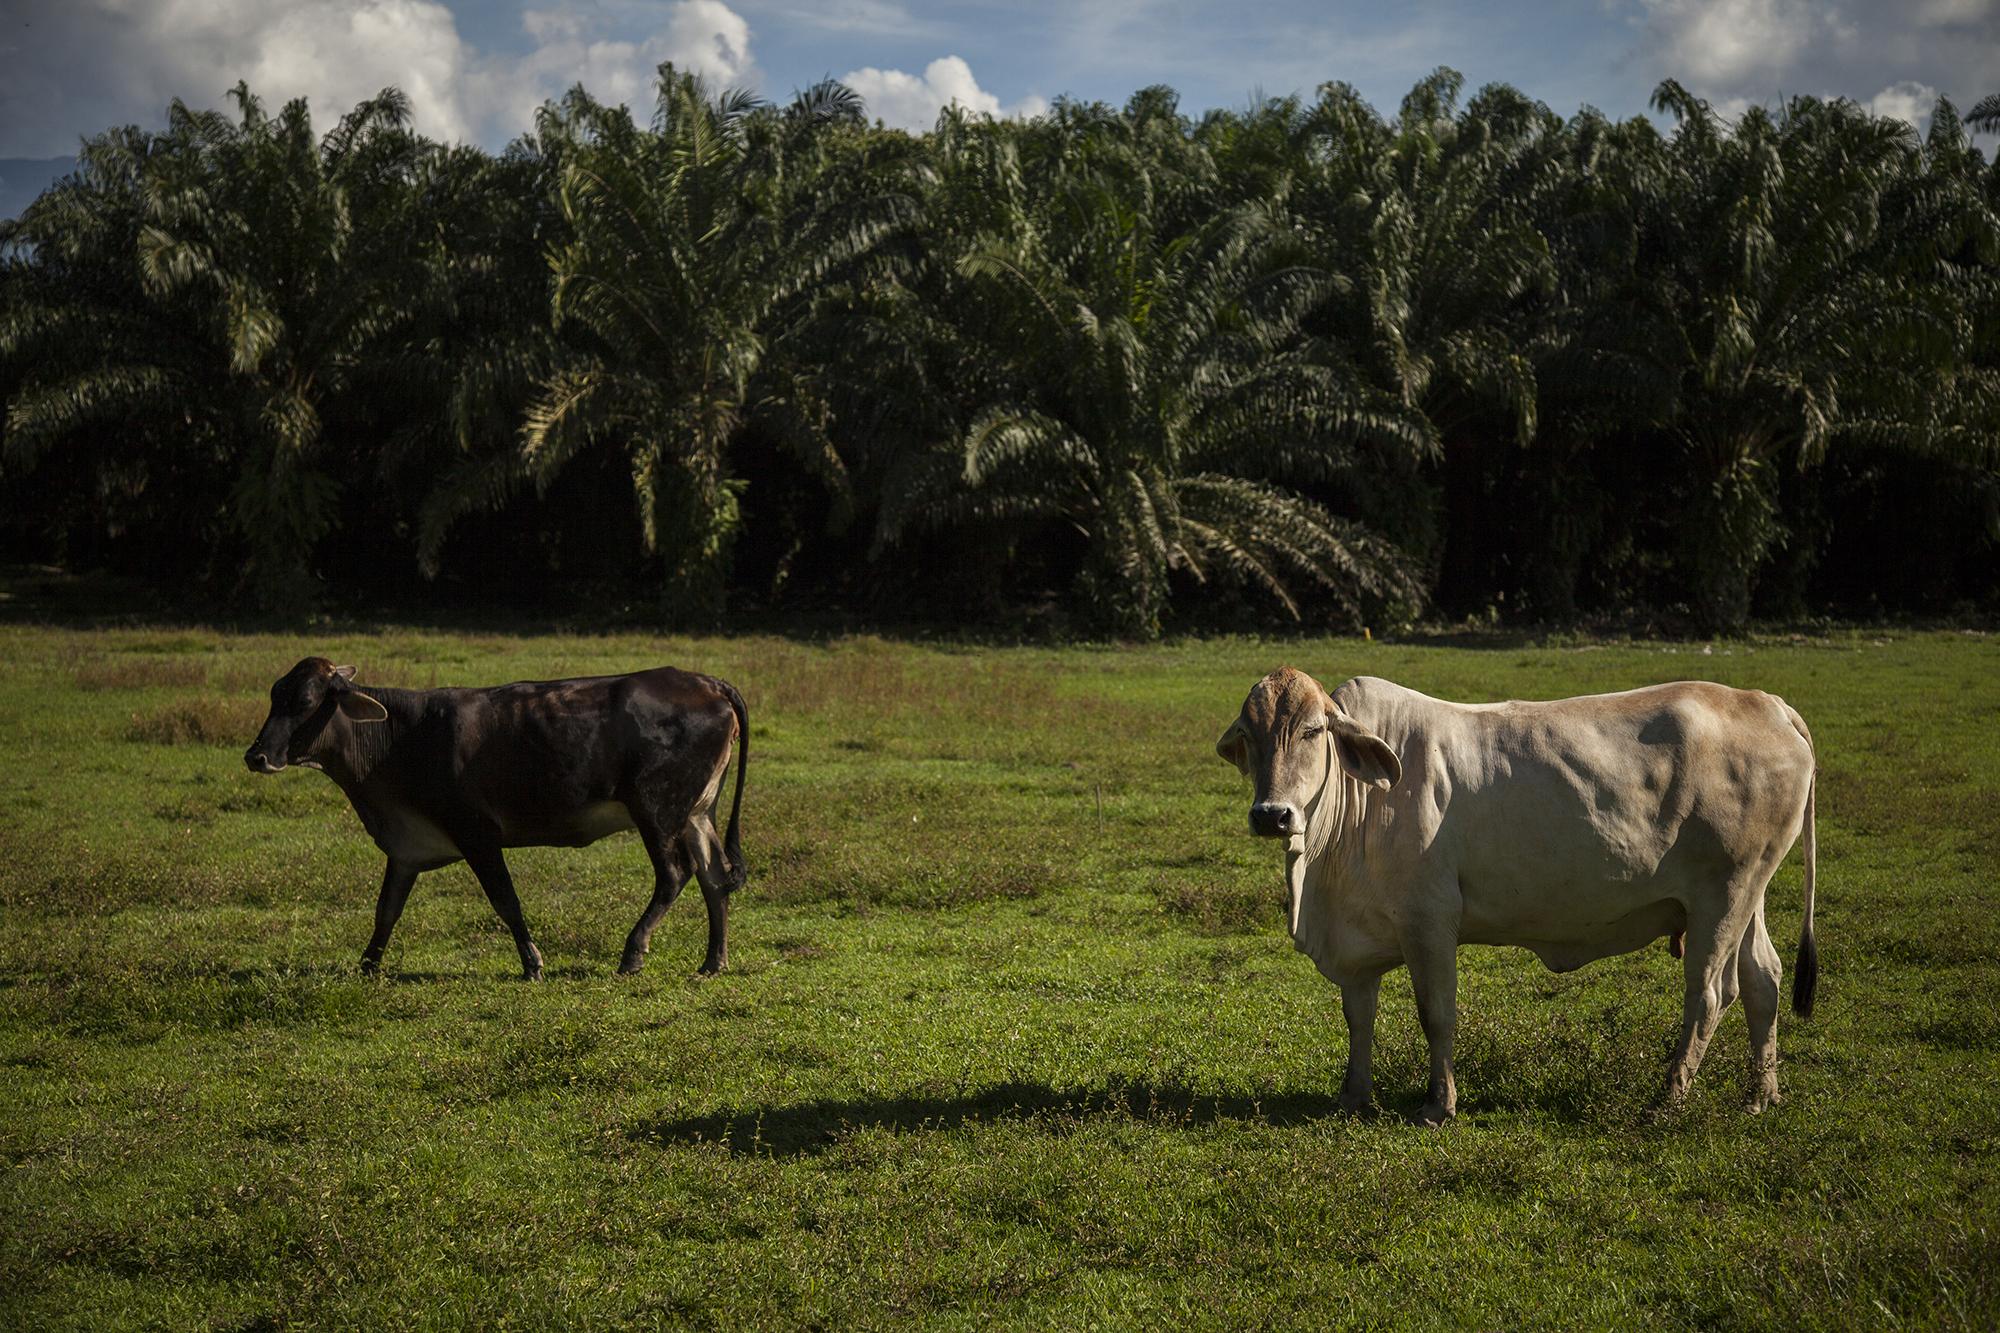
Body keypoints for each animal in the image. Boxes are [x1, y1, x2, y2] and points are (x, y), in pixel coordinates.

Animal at [248, 656, 752, 976]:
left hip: (656, 810)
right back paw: (713, 961)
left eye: (305, 702)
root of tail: (708, 683)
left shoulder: (477, 835)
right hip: (696, 812)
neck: (401, 736)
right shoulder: (407, 848)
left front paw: (532, 962)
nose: (256, 756)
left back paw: (633, 953)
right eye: (274, 696)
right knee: (713, 875)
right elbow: (386, 910)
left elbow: (505, 901)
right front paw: (368, 964)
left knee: (675, 874)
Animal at [1208, 668, 1824, 1112]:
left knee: (1711, 994)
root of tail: (1767, 702)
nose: (1272, 815)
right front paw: (1353, 1098)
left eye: (1313, 731)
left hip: (1724, 895)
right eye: (1251, 736)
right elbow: (1358, 1018)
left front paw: (1438, 1104)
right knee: (1763, 978)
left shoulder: (1429, 920)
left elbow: (1437, 1013)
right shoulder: (1361, 939)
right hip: (1748, 893)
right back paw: (1761, 1096)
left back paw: (1669, 1097)